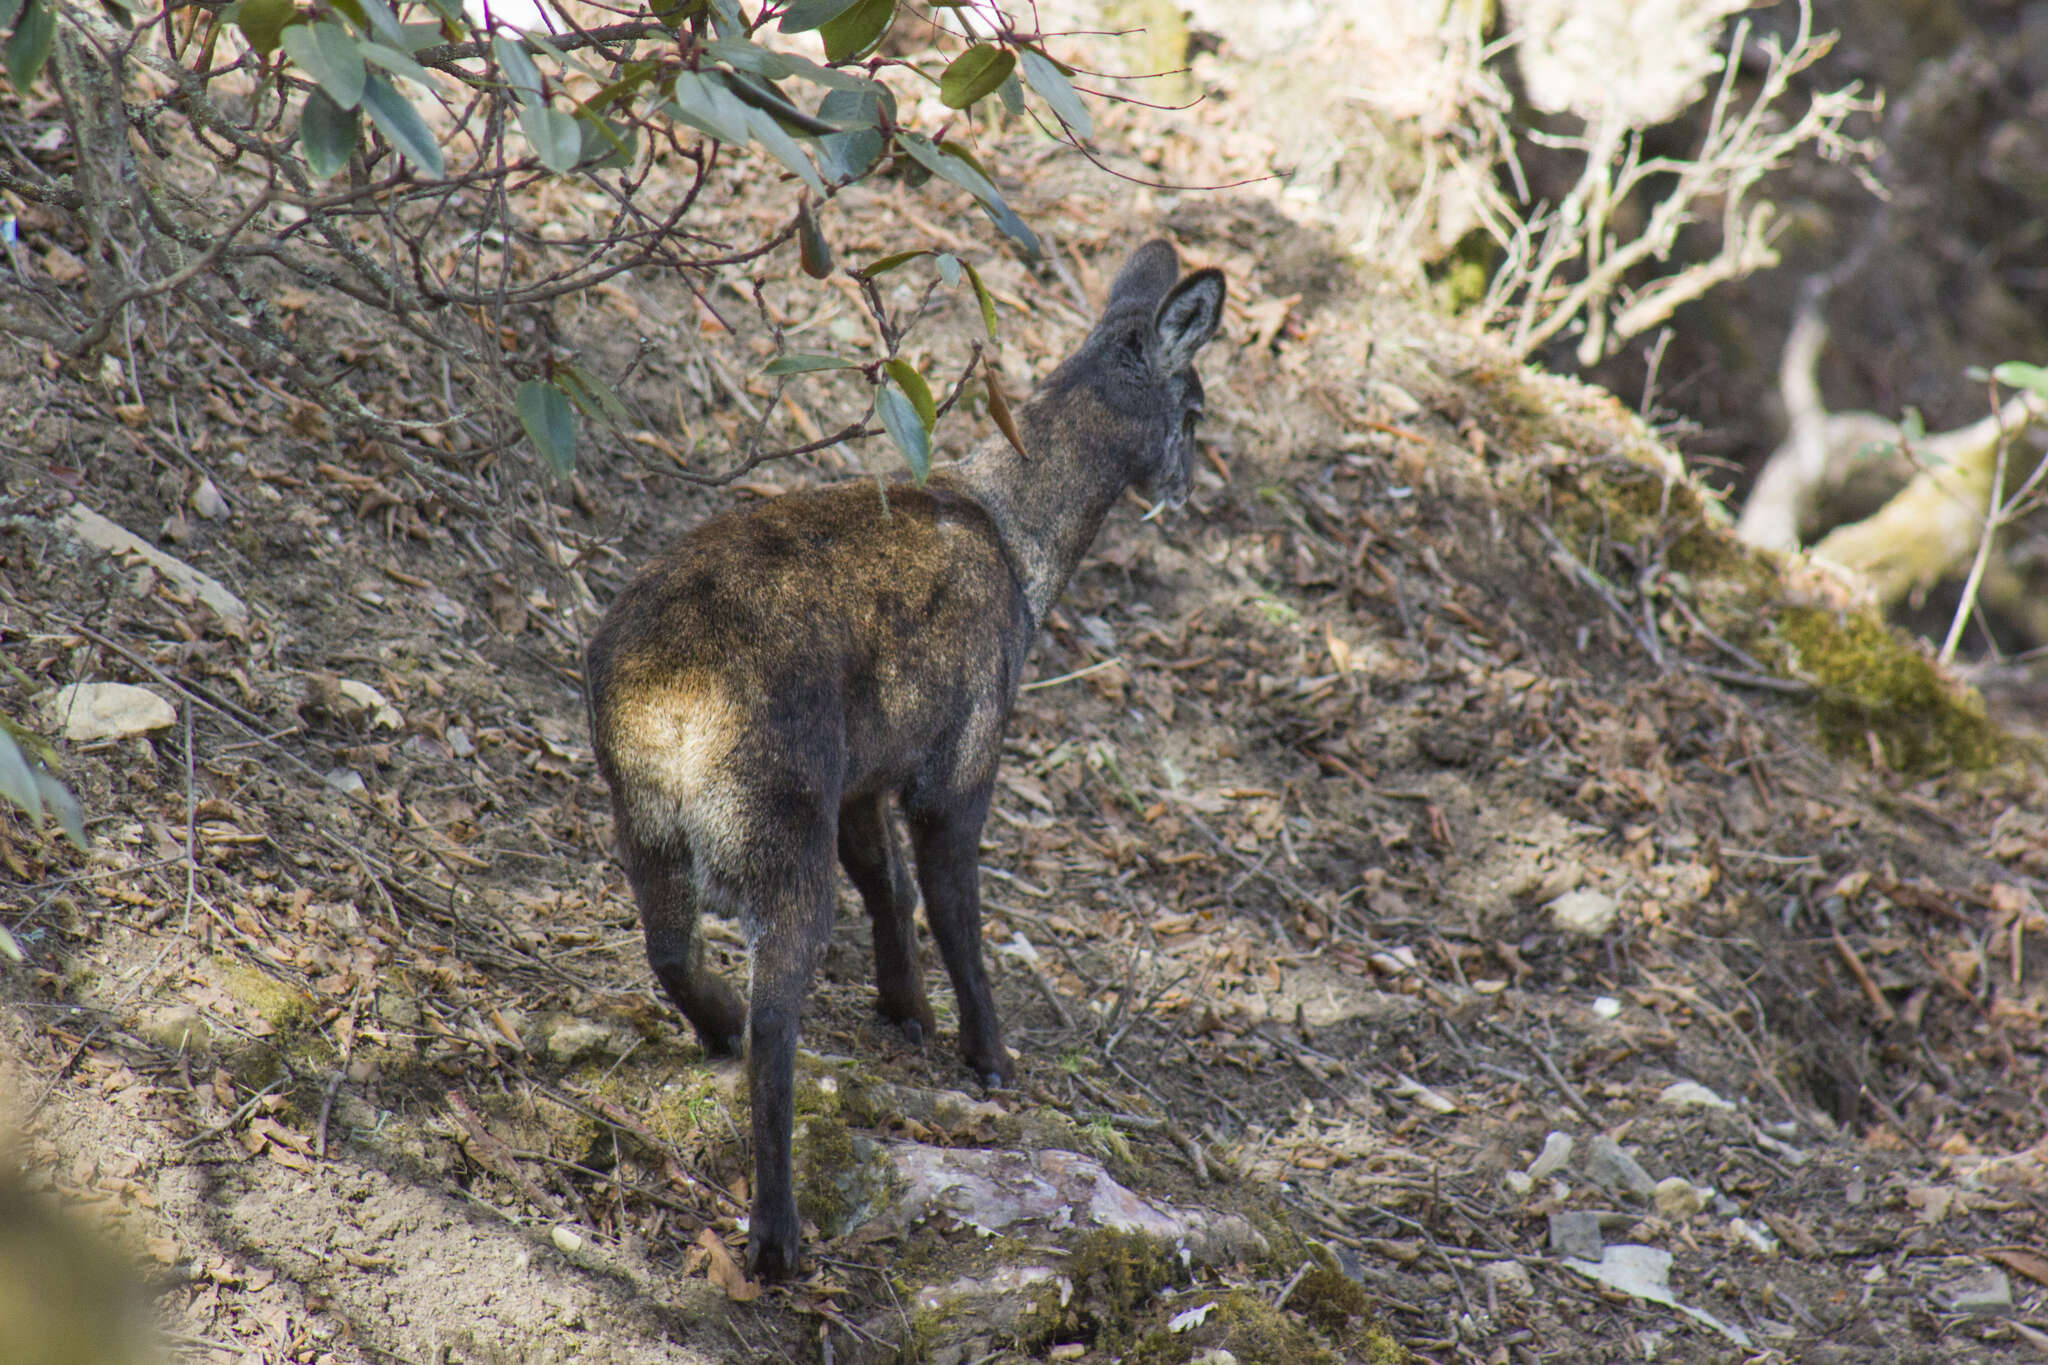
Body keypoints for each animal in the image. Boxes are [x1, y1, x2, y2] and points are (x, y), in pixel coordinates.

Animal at [589, 242, 1228, 1285]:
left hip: (644, 815)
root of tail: (667, 696)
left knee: (672, 949)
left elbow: (883, 879)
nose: (1188, 486)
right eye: (1199, 406)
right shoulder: (959, 756)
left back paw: (718, 1027)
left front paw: (905, 1008)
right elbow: (953, 903)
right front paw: (987, 1053)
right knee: (779, 1011)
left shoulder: (864, 768)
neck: (1021, 545)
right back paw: (776, 1236)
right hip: (774, 815)